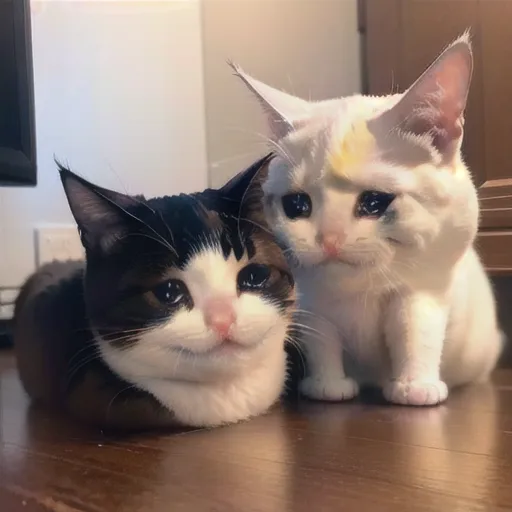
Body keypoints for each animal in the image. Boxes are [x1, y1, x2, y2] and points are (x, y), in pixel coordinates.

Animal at [232, 34, 504, 406]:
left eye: (375, 202)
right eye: (296, 204)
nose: (329, 239)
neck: (358, 294)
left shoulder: (422, 291)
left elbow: (415, 336)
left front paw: (415, 387)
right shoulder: (313, 303)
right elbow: (323, 342)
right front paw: (327, 385)